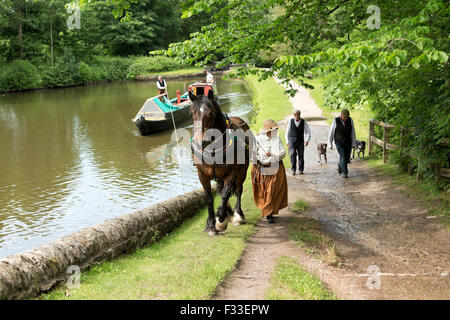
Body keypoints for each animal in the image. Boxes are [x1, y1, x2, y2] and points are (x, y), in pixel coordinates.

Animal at [189, 89, 253, 236]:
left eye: (211, 113)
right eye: (193, 114)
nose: (200, 142)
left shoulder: (232, 173)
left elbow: (225, 194)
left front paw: (221, 221)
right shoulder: (202, 175)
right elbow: (209, 198)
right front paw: (211, 225)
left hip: (242, 171)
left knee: (238, 190)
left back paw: (237, 215)